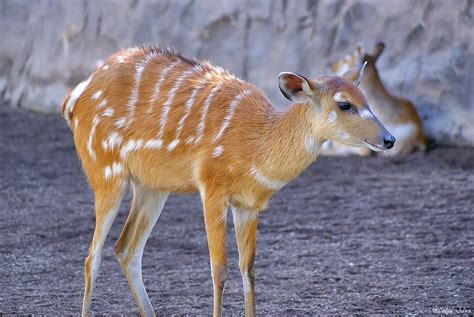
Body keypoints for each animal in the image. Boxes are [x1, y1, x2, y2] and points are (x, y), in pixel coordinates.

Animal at [62, 45, 396, 314]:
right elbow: (218, 269)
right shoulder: (211, 189)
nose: (389, 139)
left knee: (126, 248)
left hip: (152, 186)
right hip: (106, 172)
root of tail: (74, 100)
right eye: (344, 104)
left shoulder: (248, 204)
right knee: (93, 257)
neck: (255, 146)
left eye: (366, 99)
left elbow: (248, 269)